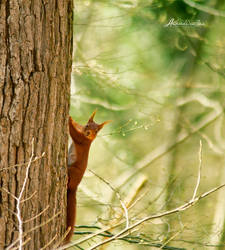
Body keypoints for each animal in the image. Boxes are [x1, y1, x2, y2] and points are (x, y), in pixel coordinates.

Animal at [65, 111, 110, 242]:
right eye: (87, 126)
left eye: (97, 131)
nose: (90, 134)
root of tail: (74, 187)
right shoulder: (81, 131)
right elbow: (76, 127)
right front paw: (71, 118)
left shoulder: (82, 140)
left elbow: (73, 133)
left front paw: (68, 119)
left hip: (73, 171)